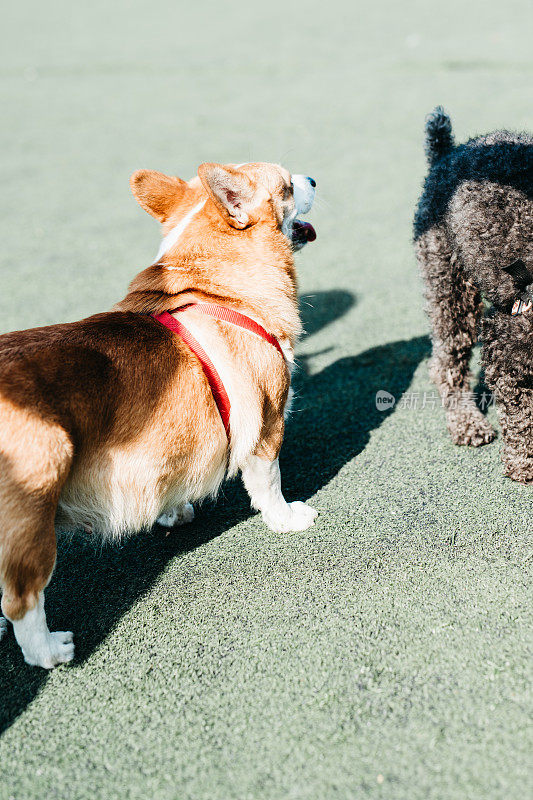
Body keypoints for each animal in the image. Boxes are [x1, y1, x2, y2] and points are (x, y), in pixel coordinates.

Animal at [0, 162, 316, 668]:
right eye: (287, 186)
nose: (313, 180)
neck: (216, 290)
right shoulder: (268, 425)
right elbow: (269, 484)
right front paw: (287, 519)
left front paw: (174, 511)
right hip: (33, 516)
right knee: (22, 600)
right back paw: (50, 650)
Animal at [416, 106, 532, 482]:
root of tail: (448, 152)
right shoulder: (509, 343)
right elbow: (522, 417)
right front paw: (524, 465)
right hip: (449, 282)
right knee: (447, 362)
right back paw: (467, 423)